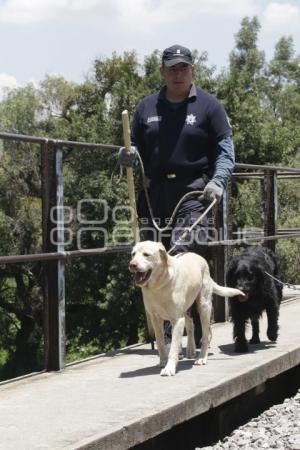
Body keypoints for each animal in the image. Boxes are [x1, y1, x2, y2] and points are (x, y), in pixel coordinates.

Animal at [128, 243, 244, 376]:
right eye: (133, 254)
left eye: (146, 254)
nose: (132, 265)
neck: (159, 284)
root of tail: (198, 256)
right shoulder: (155, 318)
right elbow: (160, 342)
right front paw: (163, 361)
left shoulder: (177, 319)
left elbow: (173, 347)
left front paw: (169, 368)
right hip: (186, 308)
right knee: (190, 325)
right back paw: (191, 349)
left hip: (203, 306)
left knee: (205, 335)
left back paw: (202, 357)